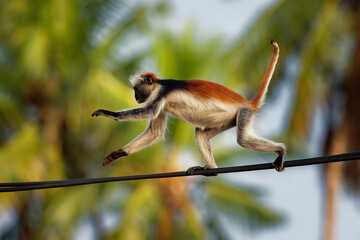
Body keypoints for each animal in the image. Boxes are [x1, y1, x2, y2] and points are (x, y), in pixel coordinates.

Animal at [93, 39, 286, 174]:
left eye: (135, 90)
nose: (135, 96)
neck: (158, 84)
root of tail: (248, 103)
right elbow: (155, 132)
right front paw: (119, 153)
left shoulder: (161, 93)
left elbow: (150, 111)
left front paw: (109, 113)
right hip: (229, 120)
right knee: (200, 133)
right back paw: (211, 170)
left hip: (244, 113)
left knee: (243, 139)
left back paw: (281, 150)